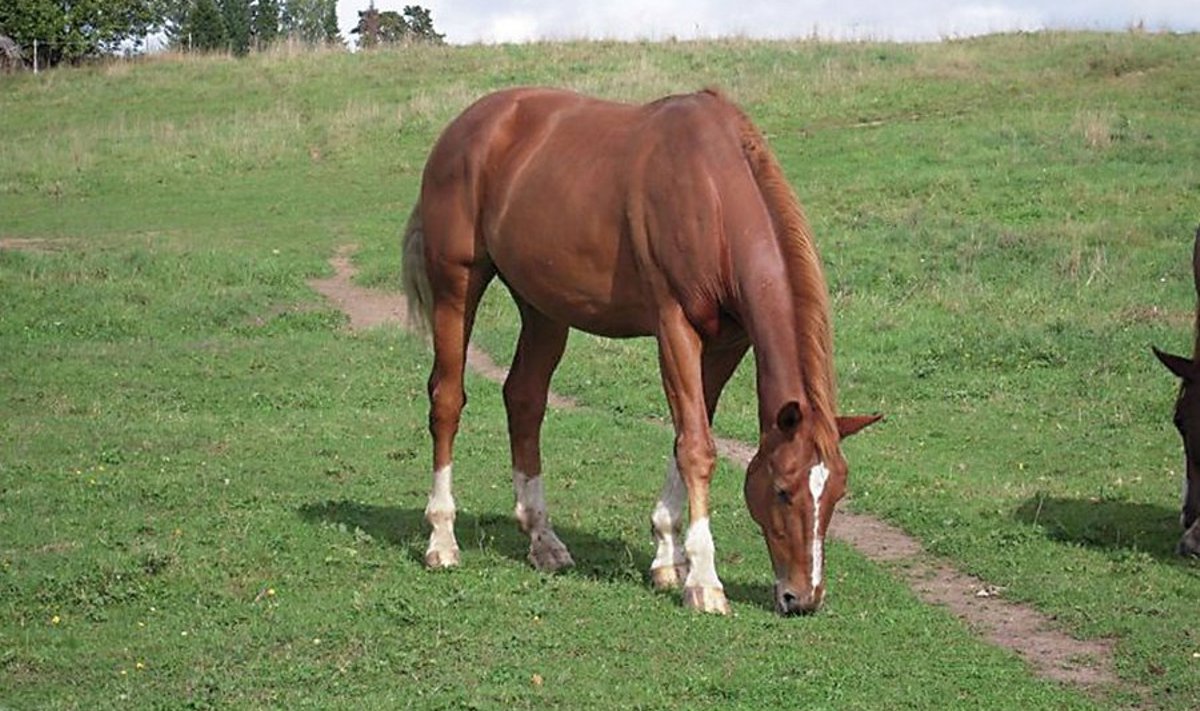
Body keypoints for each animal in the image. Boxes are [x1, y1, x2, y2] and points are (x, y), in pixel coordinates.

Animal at [403, 85, 883, 614]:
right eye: (782, 490)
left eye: (836, 492)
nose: (803, 597)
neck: (714, 195)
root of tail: (464, 127)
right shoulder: (675, 328)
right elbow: (696, 447)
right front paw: (704, 581)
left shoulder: (727, 343)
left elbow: (688, 436)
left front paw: (668, 559)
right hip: (456, 286)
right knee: (447, 400)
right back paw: (442, 540)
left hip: (544, 307)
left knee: (524, 400)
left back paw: (543, 540)